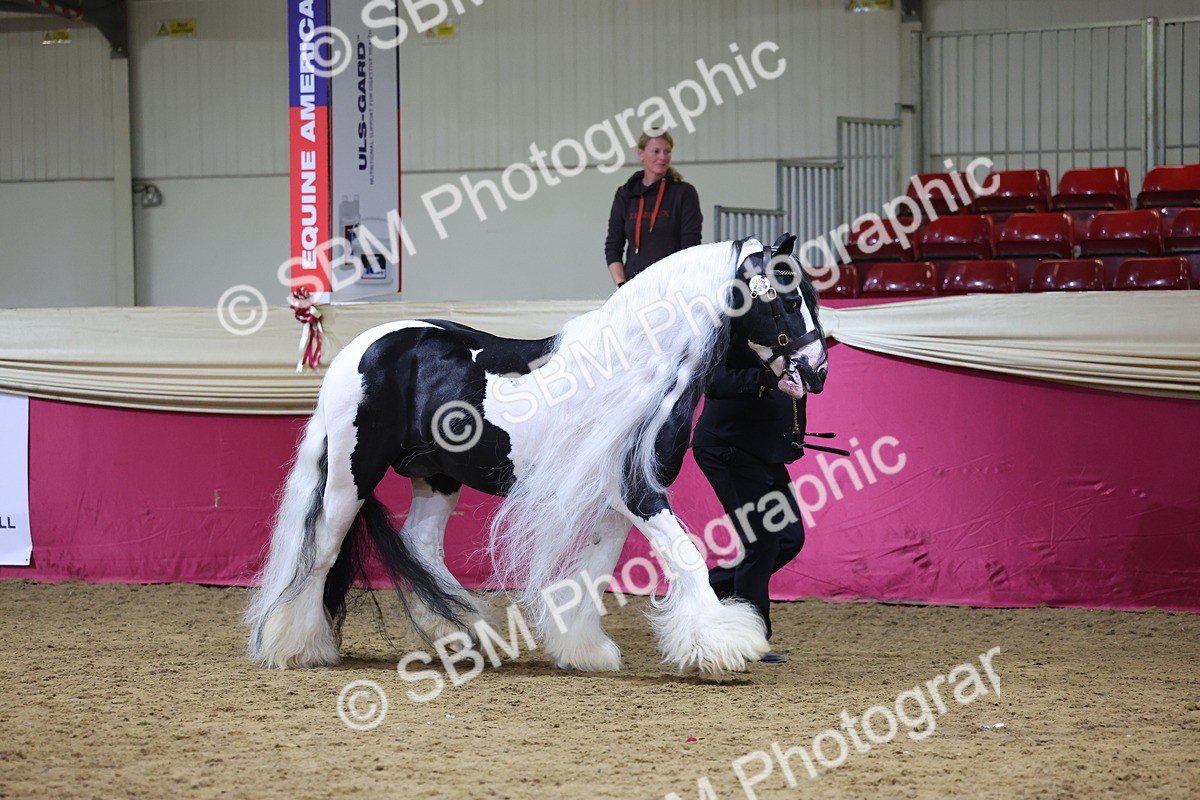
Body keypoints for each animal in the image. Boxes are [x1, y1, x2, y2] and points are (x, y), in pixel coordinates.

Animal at [245, 235, 828, 679]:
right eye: (783, 296)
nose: (816, 369)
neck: (638, 369)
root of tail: (356, 350)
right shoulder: (640, 493)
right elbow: (688, 560)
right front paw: (725, 646)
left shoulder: (615, 499)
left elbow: (596, 570)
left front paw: (584, 649)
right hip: (353, 475)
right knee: (321, 548)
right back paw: (299, 647)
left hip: (436, 476)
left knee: (421, 546)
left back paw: (469, 637)